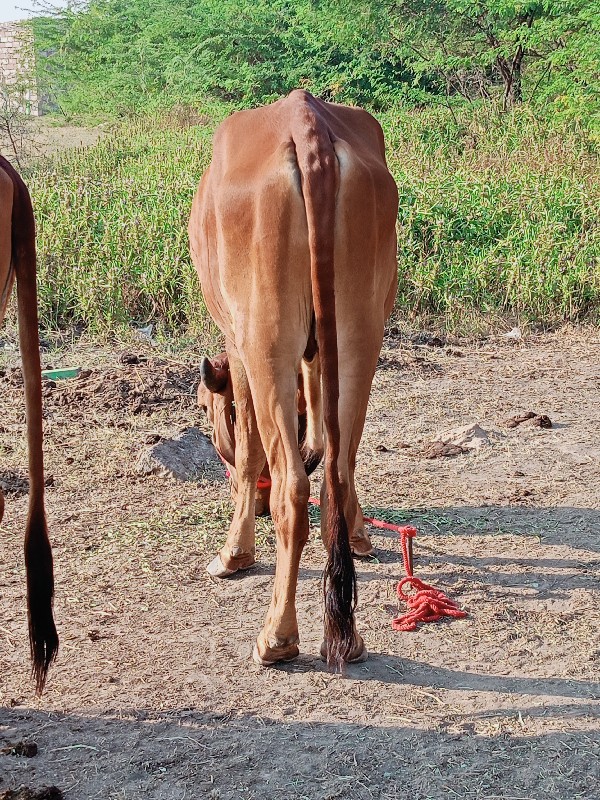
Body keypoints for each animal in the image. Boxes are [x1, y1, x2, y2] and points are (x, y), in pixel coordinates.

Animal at [190, 92, 398, 668]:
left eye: (208, 411)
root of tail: (307, 123)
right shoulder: (316, 353)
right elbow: (324, 438)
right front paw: (361, 538)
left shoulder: (239, 345)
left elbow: (247, 452)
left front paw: (234, 551)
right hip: (360, 332)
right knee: (338, 471)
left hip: (266, 337)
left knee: (293, 490)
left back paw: (278, 635)